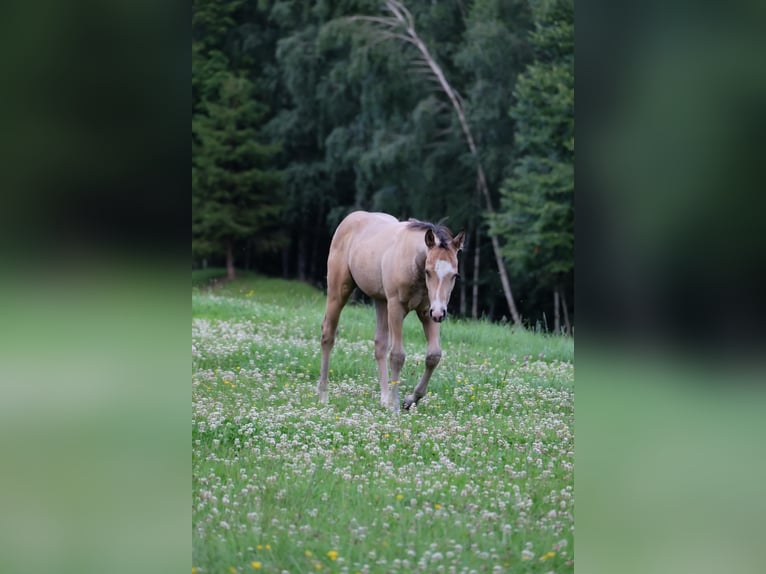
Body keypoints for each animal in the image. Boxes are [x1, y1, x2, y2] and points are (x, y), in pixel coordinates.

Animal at [317, 211, 464, 412]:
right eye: (428, 271)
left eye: (454, 275)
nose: (440, 313)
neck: (412, 262)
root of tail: (350, 219)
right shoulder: (396, 307)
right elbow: (397, 355)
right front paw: (395, 405)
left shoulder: (427, 311)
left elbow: (433, 355)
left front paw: (410, 400)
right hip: (338, 291)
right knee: (328, 334)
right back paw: (323, 395)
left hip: (381, 301)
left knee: (380, 344)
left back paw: (384, 399)